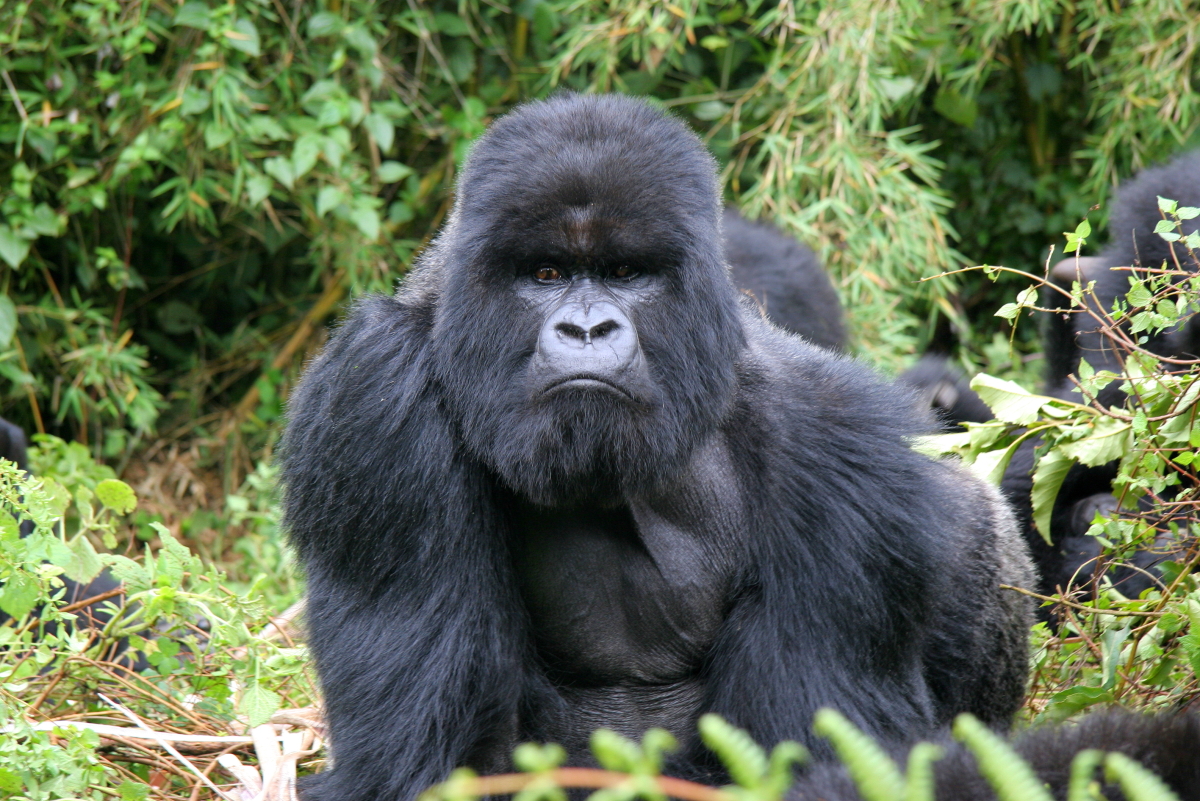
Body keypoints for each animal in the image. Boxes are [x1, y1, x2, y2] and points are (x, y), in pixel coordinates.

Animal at [278, 95, 1032, 801]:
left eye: (624, 273)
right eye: (546, 274)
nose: (587, 330)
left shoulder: (842, 451)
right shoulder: (377, 394)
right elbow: (428, 763)